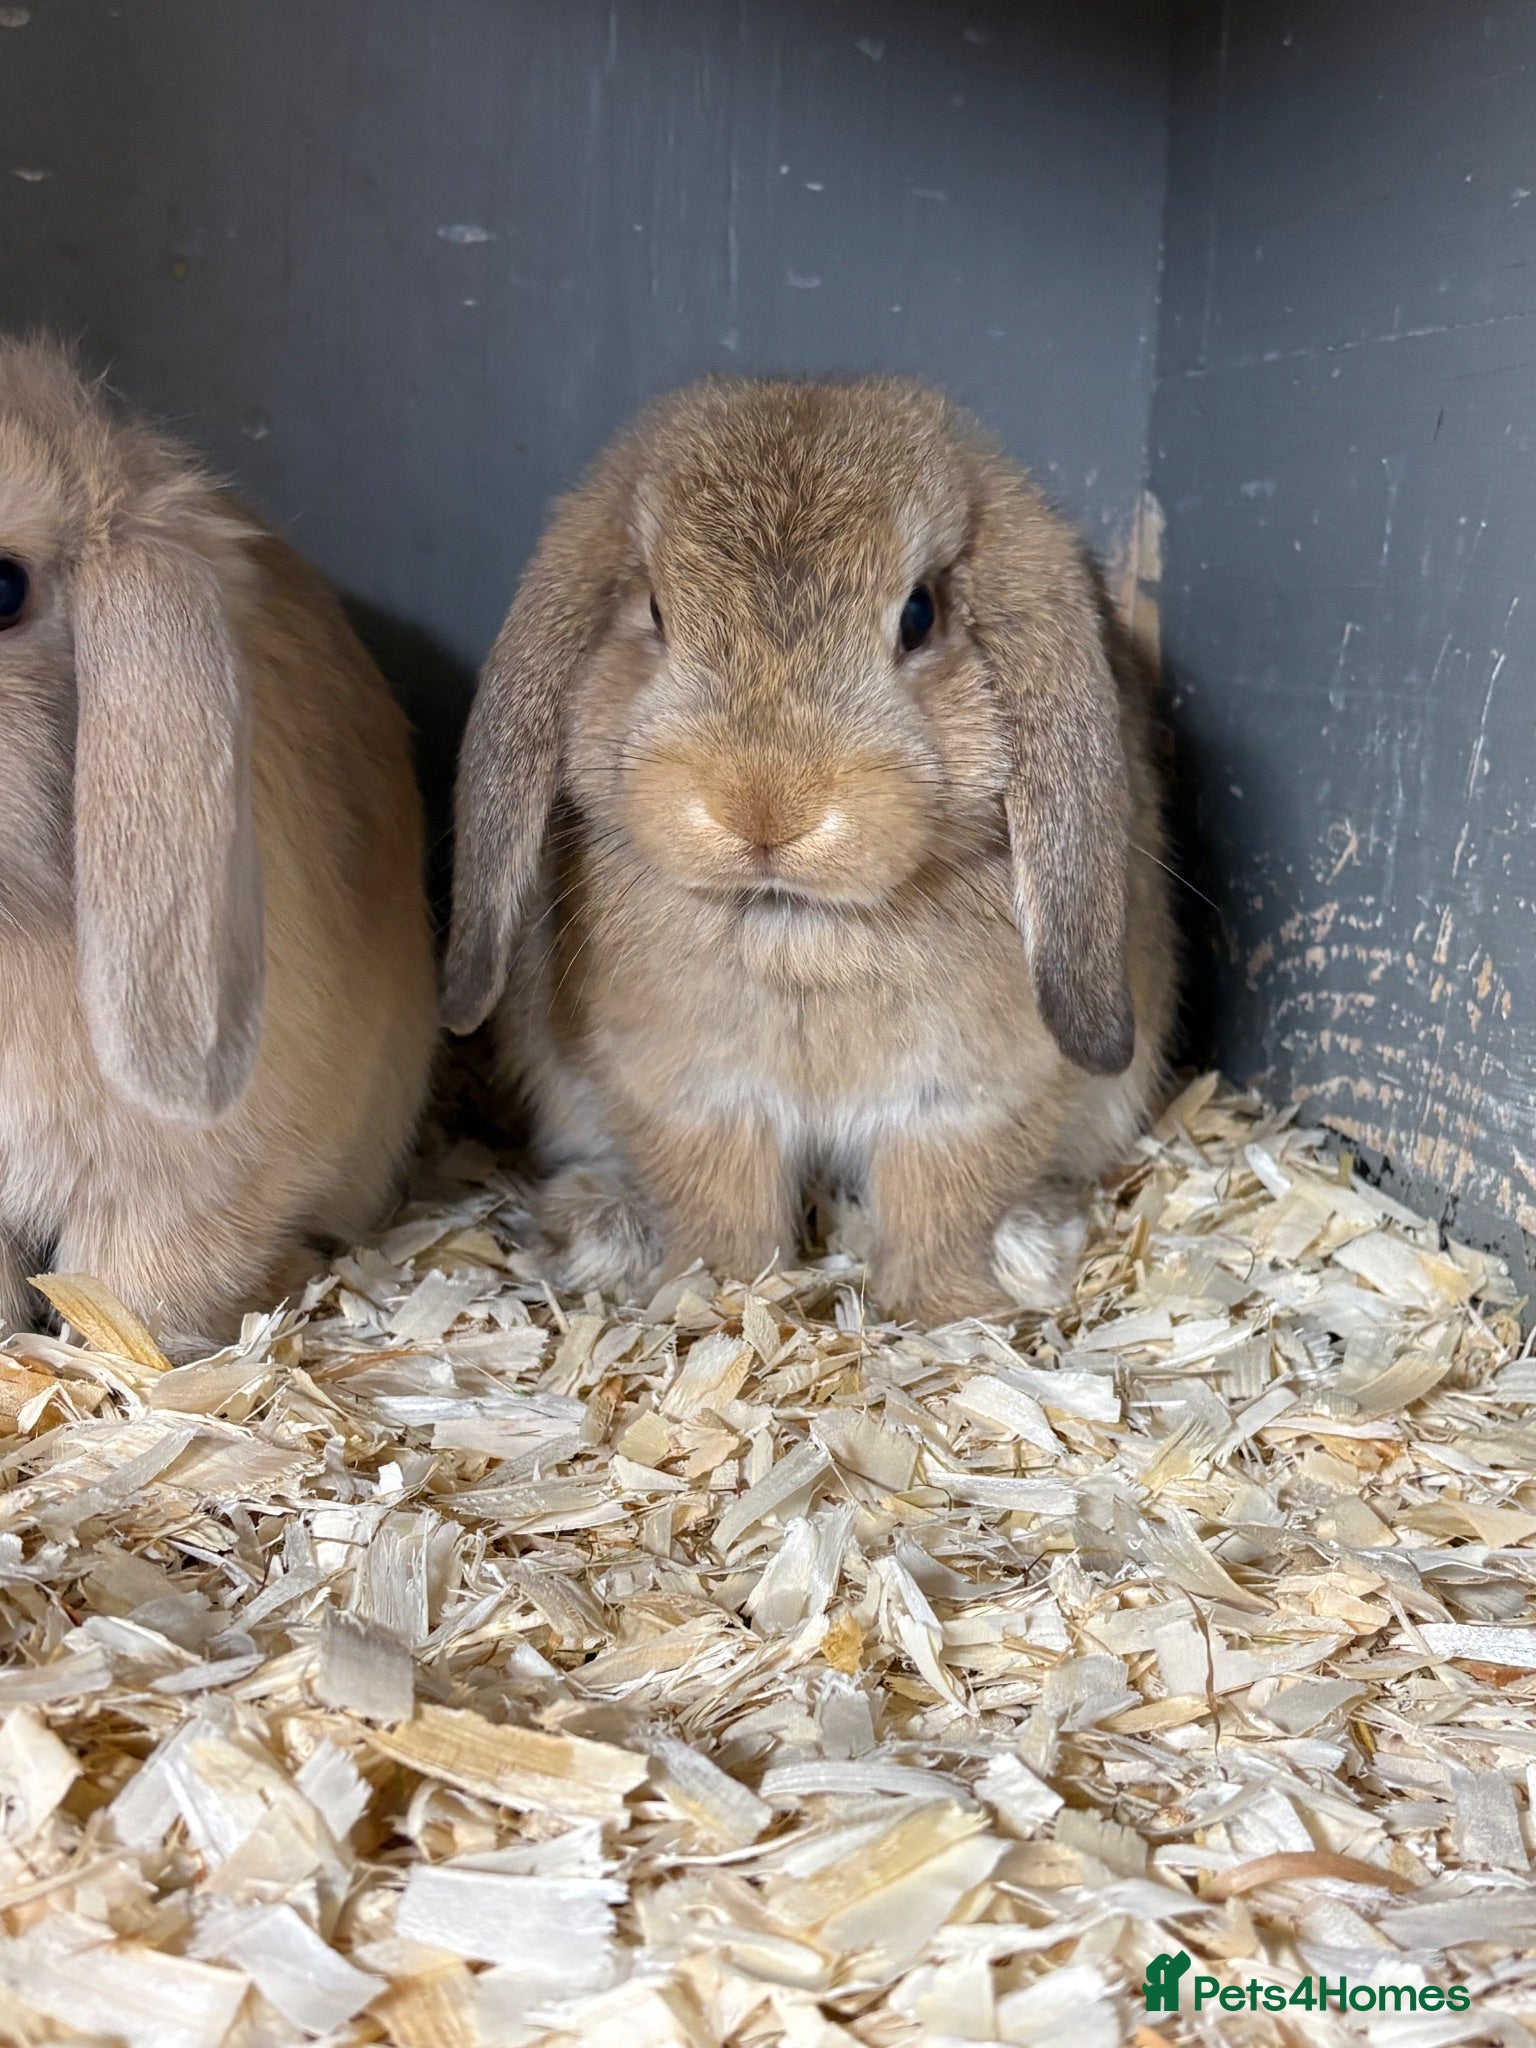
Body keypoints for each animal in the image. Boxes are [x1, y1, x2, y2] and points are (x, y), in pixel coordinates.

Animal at [445, 375, 1175, 1324]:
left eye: (919, 614)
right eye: (654, 611)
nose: (763, 807)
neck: (794, 926)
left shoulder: (963, 1104)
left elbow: (942, 1206)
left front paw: (949, 1309)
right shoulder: (696, 1096)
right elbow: (724, 1205)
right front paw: (713, 1298)